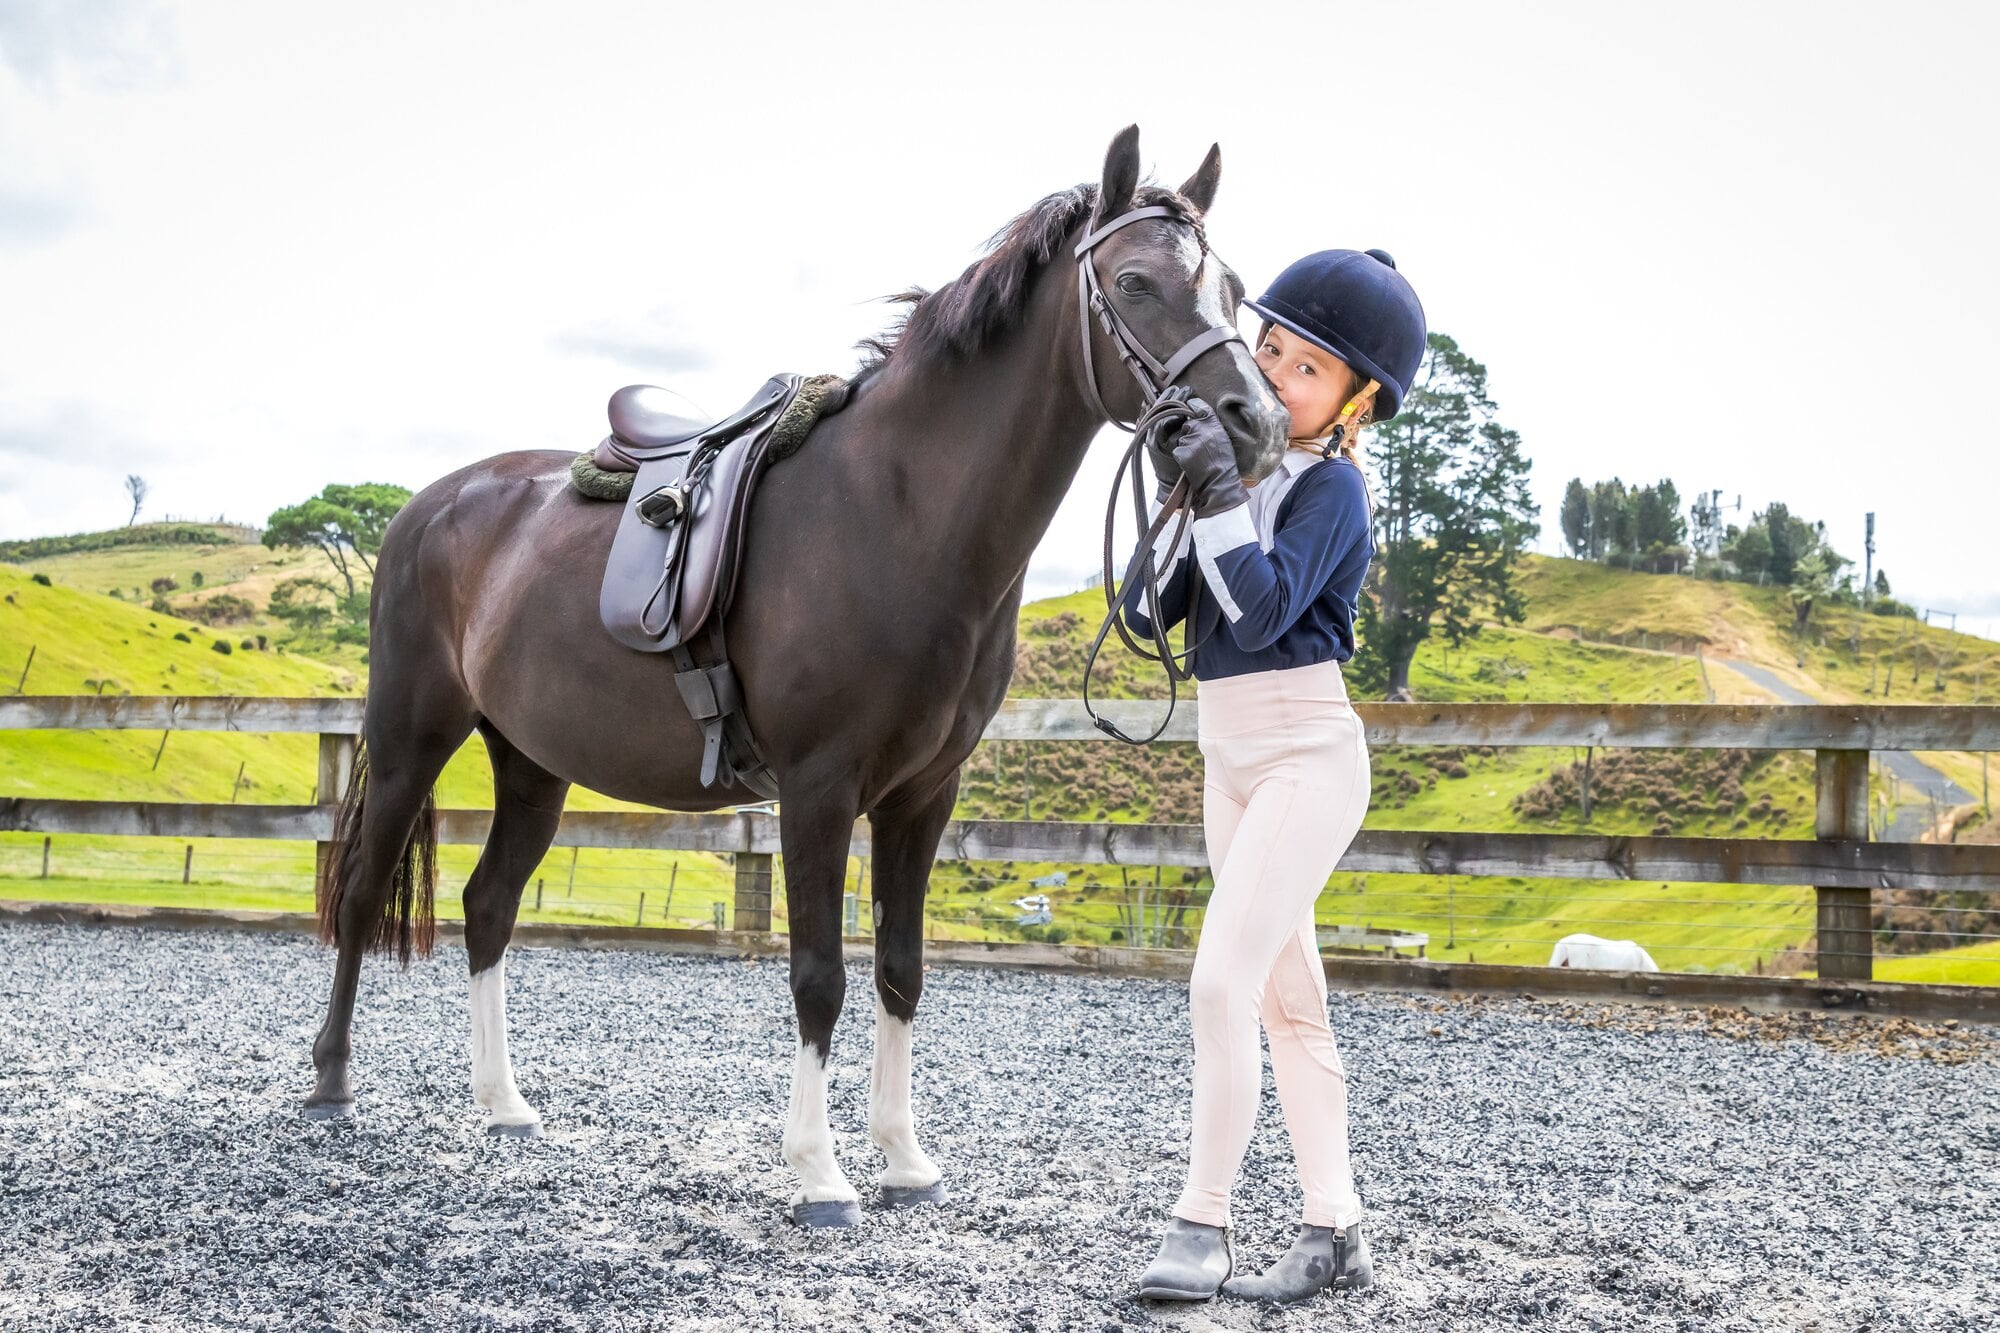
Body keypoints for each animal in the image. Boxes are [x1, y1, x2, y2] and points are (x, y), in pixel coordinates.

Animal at [303, 125, 1289, 1228]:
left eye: (1234, 288)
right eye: (1133, 280)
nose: (1253, 424)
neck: (899, 510)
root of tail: (428, 504)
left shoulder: (921, 796)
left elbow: (901, 968)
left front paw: (903, 1158)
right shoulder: (818, 788)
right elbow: (819, 975)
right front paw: (819, 1174)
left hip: (530, 763)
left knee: (488, 907)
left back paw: (503, 1105)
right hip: (410, 738)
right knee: (358, 892)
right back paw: (331, 1084)